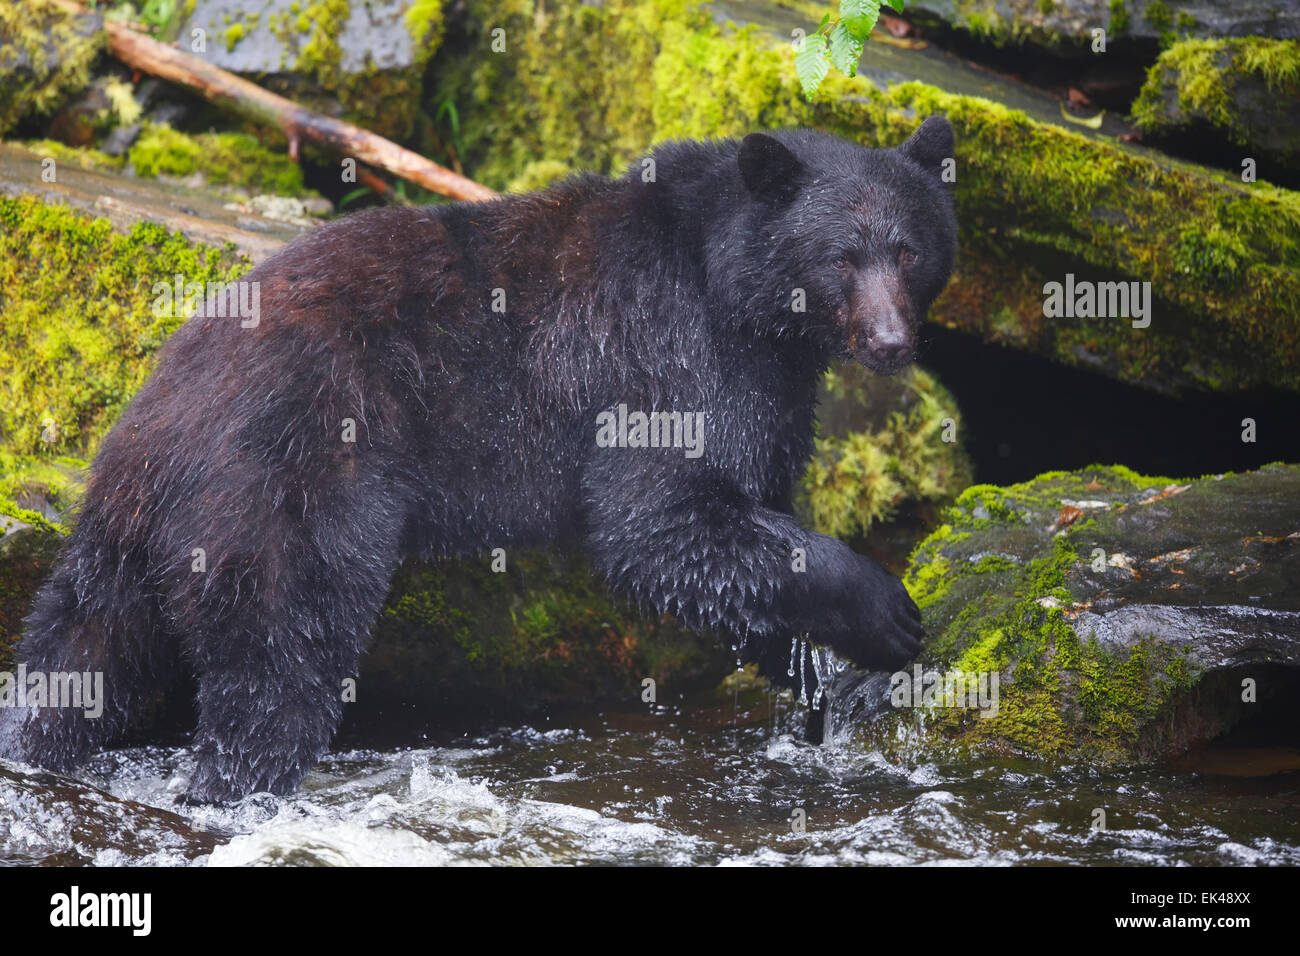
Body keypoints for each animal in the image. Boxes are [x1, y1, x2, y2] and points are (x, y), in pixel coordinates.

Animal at [2, 117, 957, 802]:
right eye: (842, 256)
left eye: (910, 249)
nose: (890, 342)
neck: (734, 292)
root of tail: (157, 424)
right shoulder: (670, 355)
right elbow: (661, 523)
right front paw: (885, 614)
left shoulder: (769, 388)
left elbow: (748, 513)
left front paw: (812, 670)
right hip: (283, 489)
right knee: (278, 661)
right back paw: (238, 787)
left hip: (121, 540)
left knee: (78, 652)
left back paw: (34, 741)